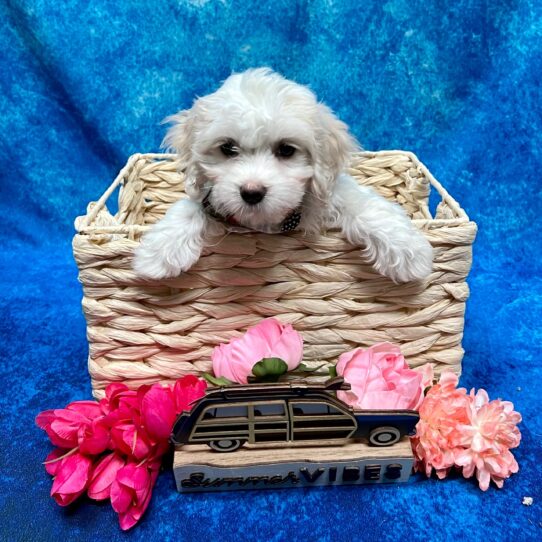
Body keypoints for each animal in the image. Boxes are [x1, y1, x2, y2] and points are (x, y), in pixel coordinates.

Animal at [135, 68, 434, 284]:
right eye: (228, 148)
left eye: (286, 150)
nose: (252, 191)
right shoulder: (214, 203)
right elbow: (189, 207)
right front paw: (158, 251)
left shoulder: (329, 192)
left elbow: (361, 202)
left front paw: (407, 251)